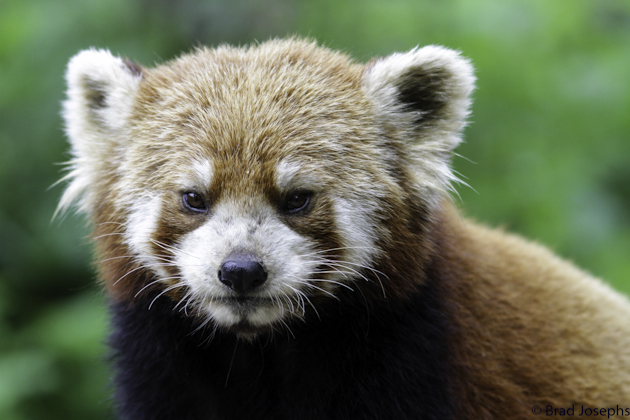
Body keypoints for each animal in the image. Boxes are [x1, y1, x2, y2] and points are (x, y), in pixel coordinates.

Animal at [58, 37, 630, 418]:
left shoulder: (411, 353)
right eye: (194, 199)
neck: (263, 351)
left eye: (297, 199)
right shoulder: (165, 365)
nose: (241, 271)